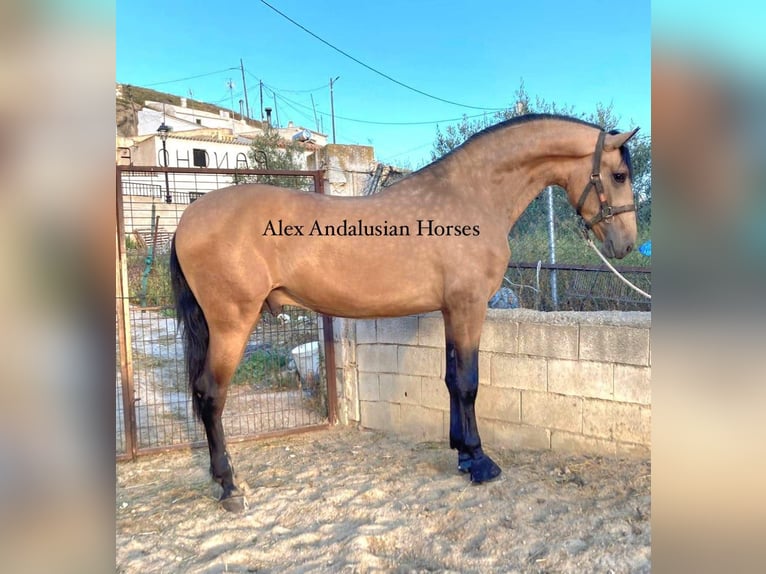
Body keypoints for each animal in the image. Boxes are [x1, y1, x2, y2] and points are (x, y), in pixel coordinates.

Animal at [170, 113, 640, 512]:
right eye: (618, 175)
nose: (627, 244)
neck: (473, 194)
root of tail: (189, 216)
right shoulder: (469, 307)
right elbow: (468, 383)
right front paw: (480, 461)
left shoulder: (452, 310)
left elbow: (451, 380)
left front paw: (462, 453)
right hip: (232, 323)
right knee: (211, 394)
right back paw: (229, 486)